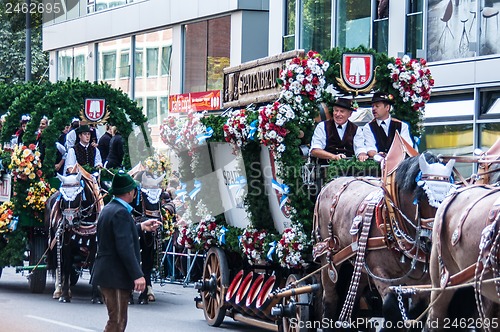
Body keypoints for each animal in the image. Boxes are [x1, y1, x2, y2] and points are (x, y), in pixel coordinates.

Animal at [312, 134, 458, 330]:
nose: (434, 238)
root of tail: (330, 184)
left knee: (354, 296)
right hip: (329, 259)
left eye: (451, 193)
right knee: (330, 297)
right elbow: (391, 309)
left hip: (359, 265)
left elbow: (416, 314)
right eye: (422, 195)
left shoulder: (422, 284)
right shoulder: (380, 273)